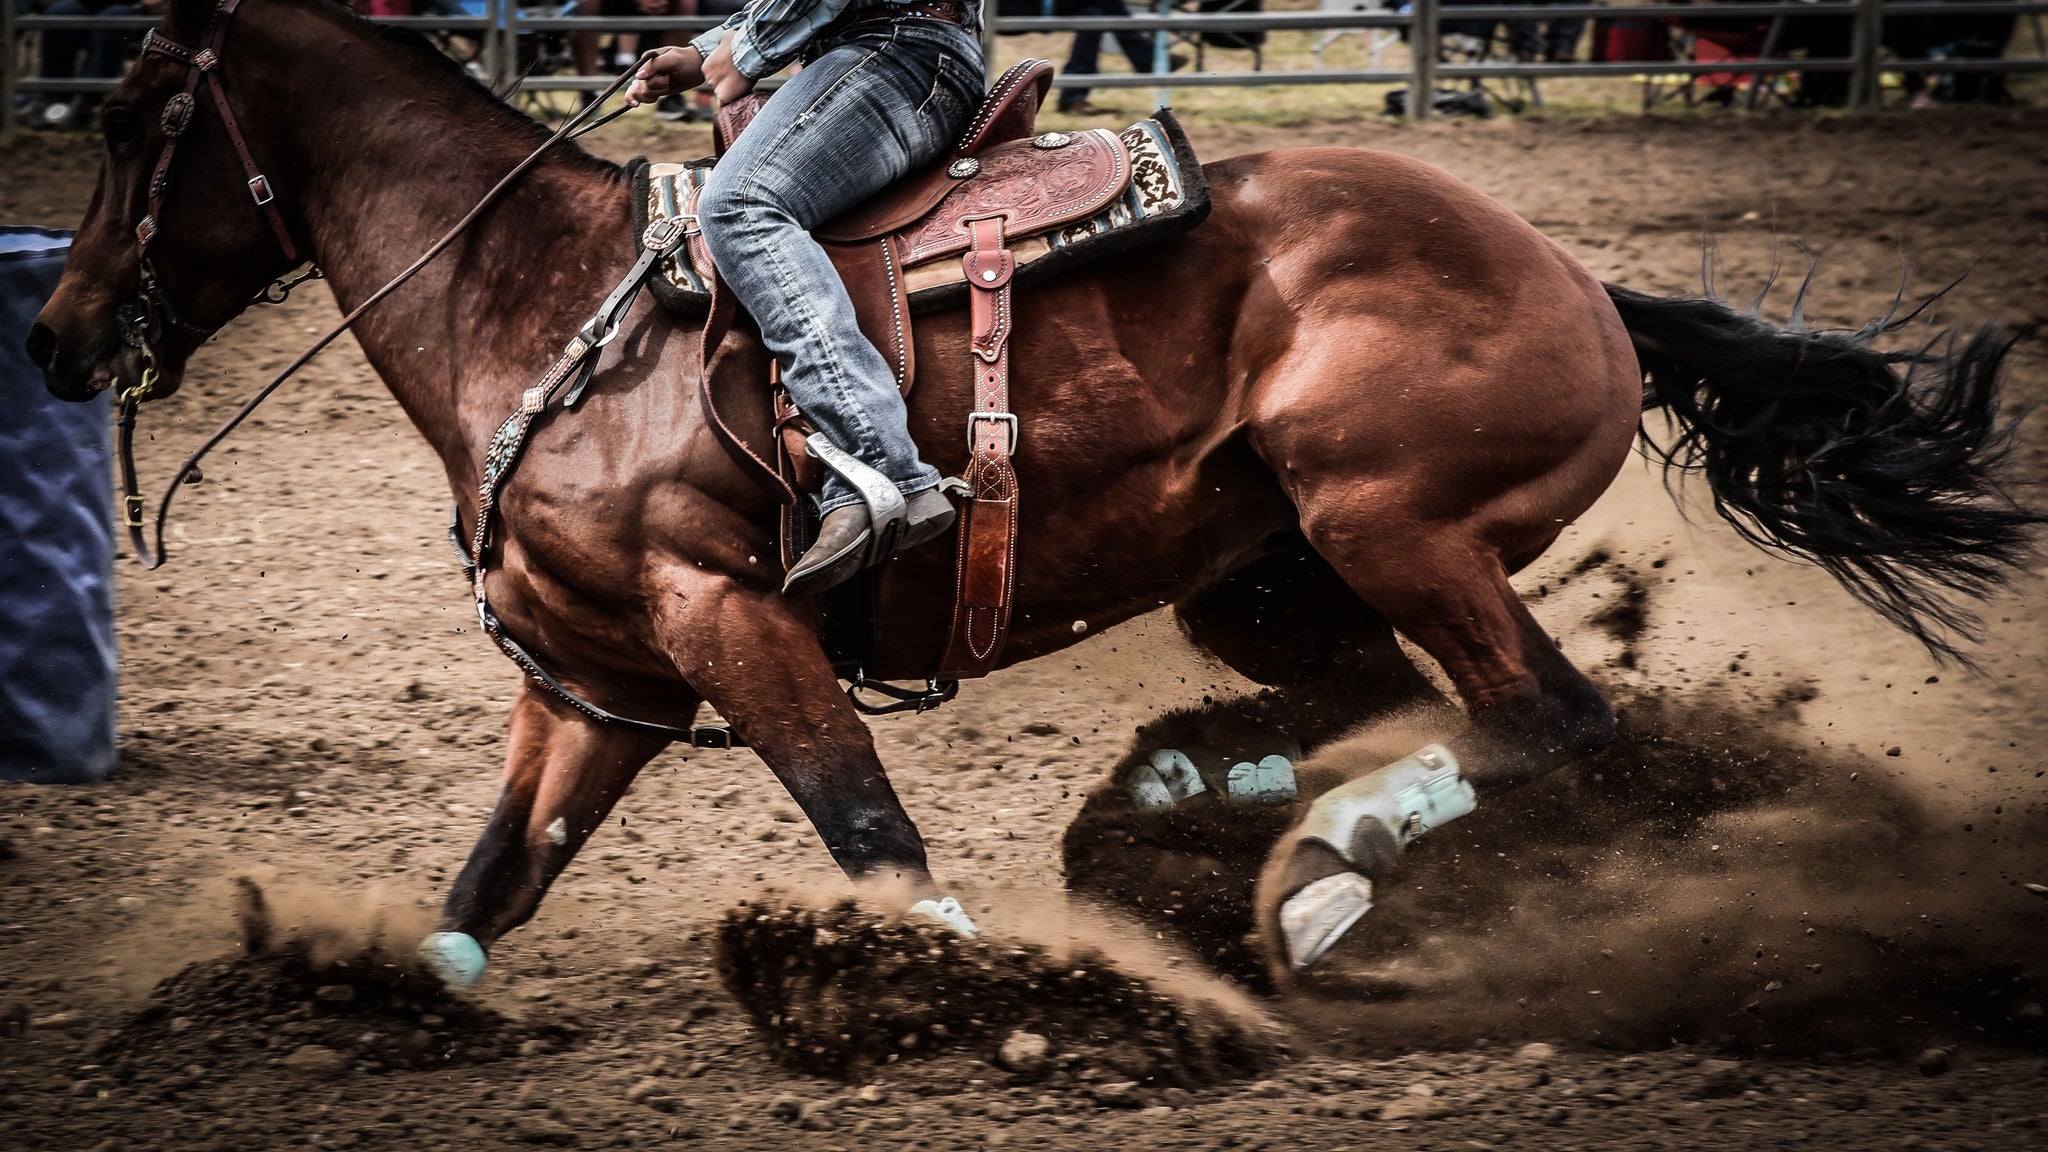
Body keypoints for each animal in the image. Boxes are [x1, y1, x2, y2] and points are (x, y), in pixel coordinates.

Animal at [29, 0, 2038, 983]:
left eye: (133, 123)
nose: (50, 338)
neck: (538, 304)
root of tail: (1580, 278)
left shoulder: (730, 618)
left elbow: (872, 838)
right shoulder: (594, 682)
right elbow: (483, 894)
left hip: (1384, 518)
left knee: (1547, 715)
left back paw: (1322, 873)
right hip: (1267, 570)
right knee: (1394, 698)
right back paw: (1204, 792)